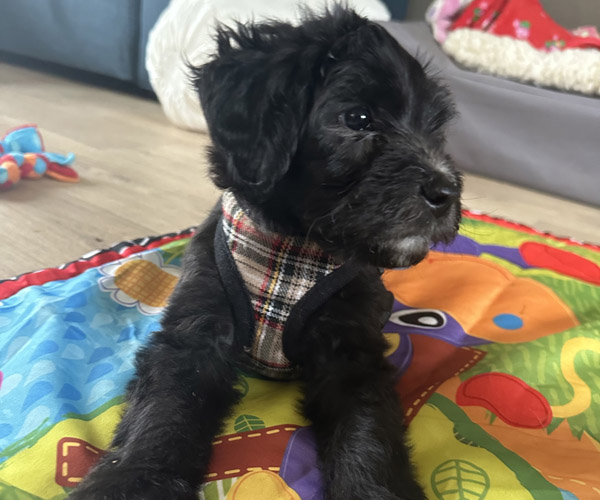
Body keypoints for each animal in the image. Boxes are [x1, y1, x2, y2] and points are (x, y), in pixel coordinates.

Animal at [70, 7, 461, 500]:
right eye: (358, 117)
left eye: (437, 129)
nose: (446, 191)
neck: (296, 248)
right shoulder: (194, 333)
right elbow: (161, 415)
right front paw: (131, 482)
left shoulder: (352, 354)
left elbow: (367, 436)